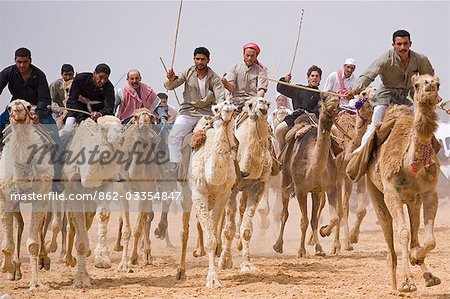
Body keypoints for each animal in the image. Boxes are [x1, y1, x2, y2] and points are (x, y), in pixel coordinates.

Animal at [0, 101, 55, 290]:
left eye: (29, 106)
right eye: (8, 107)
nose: (17, 105)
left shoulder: (41, 197)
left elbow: (32, 244)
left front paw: (35, 283)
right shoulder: (5, 198)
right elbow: (7, 244)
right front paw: (7, 268)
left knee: (43, 222)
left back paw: (44, 260)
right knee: (20, 224)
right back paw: (15, 270)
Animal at [61, 115, 122, 288]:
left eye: (121, 125)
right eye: (102, 128)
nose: (119, 136)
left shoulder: (107, 182)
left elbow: (103, 214)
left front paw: (102, 259)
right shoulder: (72, 188)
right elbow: (79, 234)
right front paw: (81, 280)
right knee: (70, 223)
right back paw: (67, 258)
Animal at [219, 97, 270, 274]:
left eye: (267, 103)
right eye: (250, 104)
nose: (263, 103)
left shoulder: (258, 187)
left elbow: (246, 229)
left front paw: (247, 264)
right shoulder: (231, 189)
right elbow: (228, 229)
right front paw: (225, 261)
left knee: (240, 211)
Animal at [272, 96, 342, 258]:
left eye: (337, 100)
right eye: (324, 99)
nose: (335, 100)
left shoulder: (329, 187)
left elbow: (330, 218)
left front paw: (322, 238)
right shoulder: (300, 190)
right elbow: (303, 221)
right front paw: (301, 251)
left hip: (316, 192)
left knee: (314, 218)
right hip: (285, 181)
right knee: (284, 213)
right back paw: (278, 246)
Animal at [364, 74, 442, 294]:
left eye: (437, 82)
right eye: (416, 84)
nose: (429, 85)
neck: (409, 164)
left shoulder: (429, 192)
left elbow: (429, 239)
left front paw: (417, 258)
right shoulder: (392, 192)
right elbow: (403, 234)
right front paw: (407, 282)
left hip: (413, 200)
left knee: (415, 232)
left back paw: (428, 275)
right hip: (374, 191)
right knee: (388, 234)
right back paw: (394, 285)